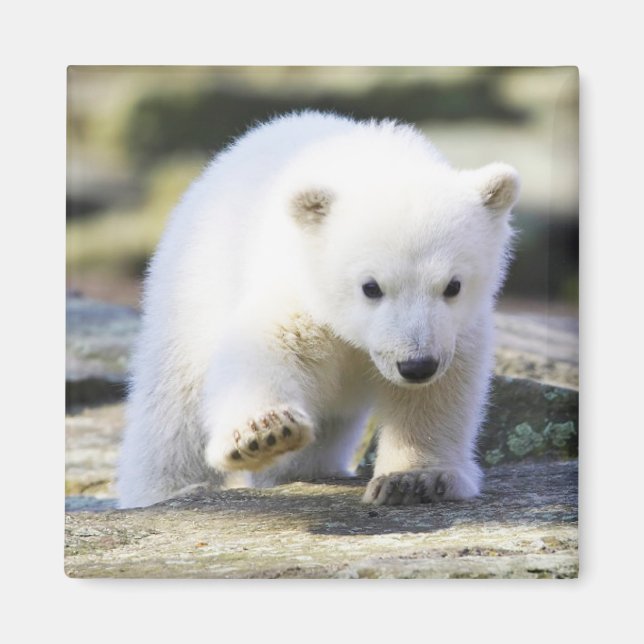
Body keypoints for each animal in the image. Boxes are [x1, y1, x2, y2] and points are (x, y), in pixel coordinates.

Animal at [116, 110, 520, 508]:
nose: (416, 365)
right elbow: (266, 346)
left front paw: (413, 479)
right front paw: (264, 433)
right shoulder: (300, 287)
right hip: (193, 286)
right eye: (370, 287)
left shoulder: (456, 330)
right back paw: (170, 490)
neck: (375, 162)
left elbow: (438, 394)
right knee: (173, 405)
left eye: (453, 285)